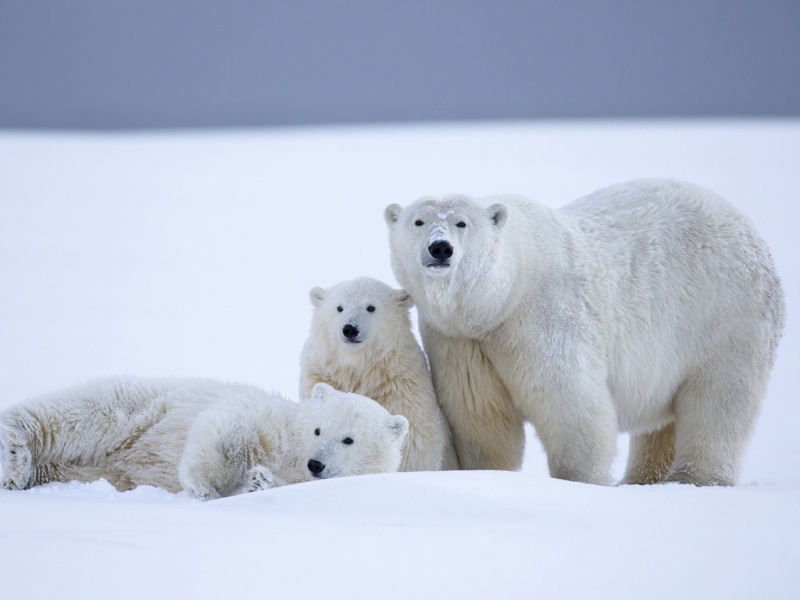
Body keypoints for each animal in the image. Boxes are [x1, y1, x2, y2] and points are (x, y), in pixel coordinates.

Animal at [0, 377, 408, 499]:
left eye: (349, 440)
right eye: (318, 429)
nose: (316, 463)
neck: (293, 453)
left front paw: (257, 482)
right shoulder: (268, 419)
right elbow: (228, 428)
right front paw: (205, 486)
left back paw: (22, 473)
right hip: (132, 409)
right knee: (71, 414)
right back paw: (15, 451)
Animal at [299, 277, 459, 471]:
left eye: (371, 307)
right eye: (339, 307)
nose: (350, 329)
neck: (359, 368)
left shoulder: (401, 388)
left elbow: (413, 444)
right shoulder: (321, 374)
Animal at [384, 178, 785, 487]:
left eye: (462, 223)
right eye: (418, 221)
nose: (440, 248)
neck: (499, 299)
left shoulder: (542, 315)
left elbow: (571, 403)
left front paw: (581, 482)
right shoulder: (460, 340)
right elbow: (481, 416)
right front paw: (486, 473)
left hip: (725, 317)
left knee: (719, 400)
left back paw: (693, 479)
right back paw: (642, 479)